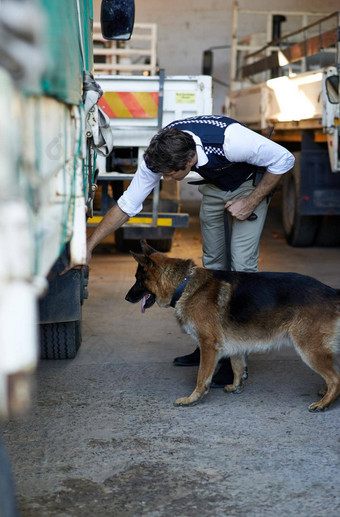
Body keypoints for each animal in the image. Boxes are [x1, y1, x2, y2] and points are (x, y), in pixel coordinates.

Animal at [125, 239, 340, 412]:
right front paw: (236, 386)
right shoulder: (236, 343)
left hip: (309, 349)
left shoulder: (208, 345)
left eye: (138, 281)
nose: (126, 298)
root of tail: (330, 291)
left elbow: (202, 376)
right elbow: (237, 366)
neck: (184, 284)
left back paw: (324, 403)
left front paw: (192, 399)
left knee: (335, 378)